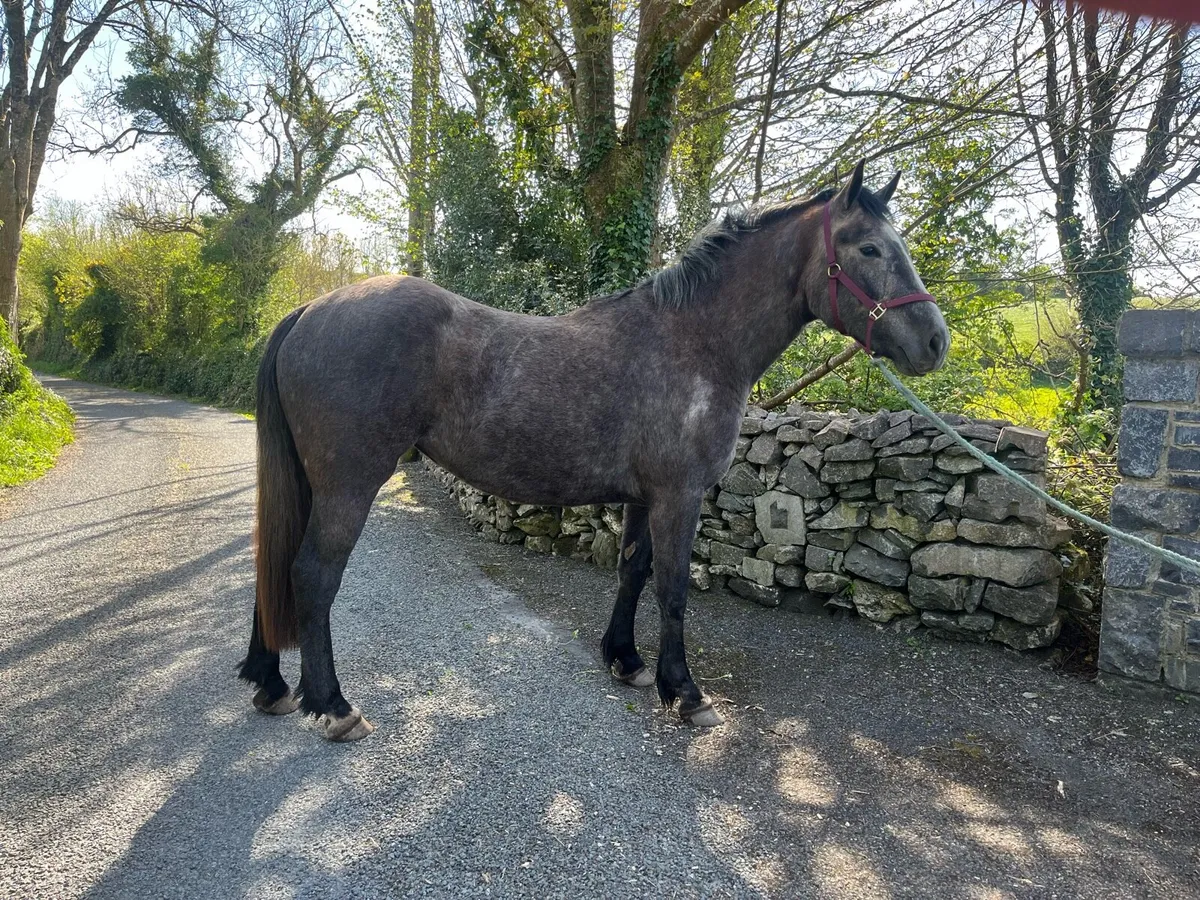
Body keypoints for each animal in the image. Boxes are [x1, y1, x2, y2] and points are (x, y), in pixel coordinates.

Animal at [237, 161, 950, 741]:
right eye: (870, 248)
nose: (935, 341)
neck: (695, 341)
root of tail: (310, 309)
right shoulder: (679, 496)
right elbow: (672, 589)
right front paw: (685, 692)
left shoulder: (644, 497)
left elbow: (632, 571)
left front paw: (626, 661)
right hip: (349, 484)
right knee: (312, 573)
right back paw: (332, 706)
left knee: (275, 563)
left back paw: (272, 685)